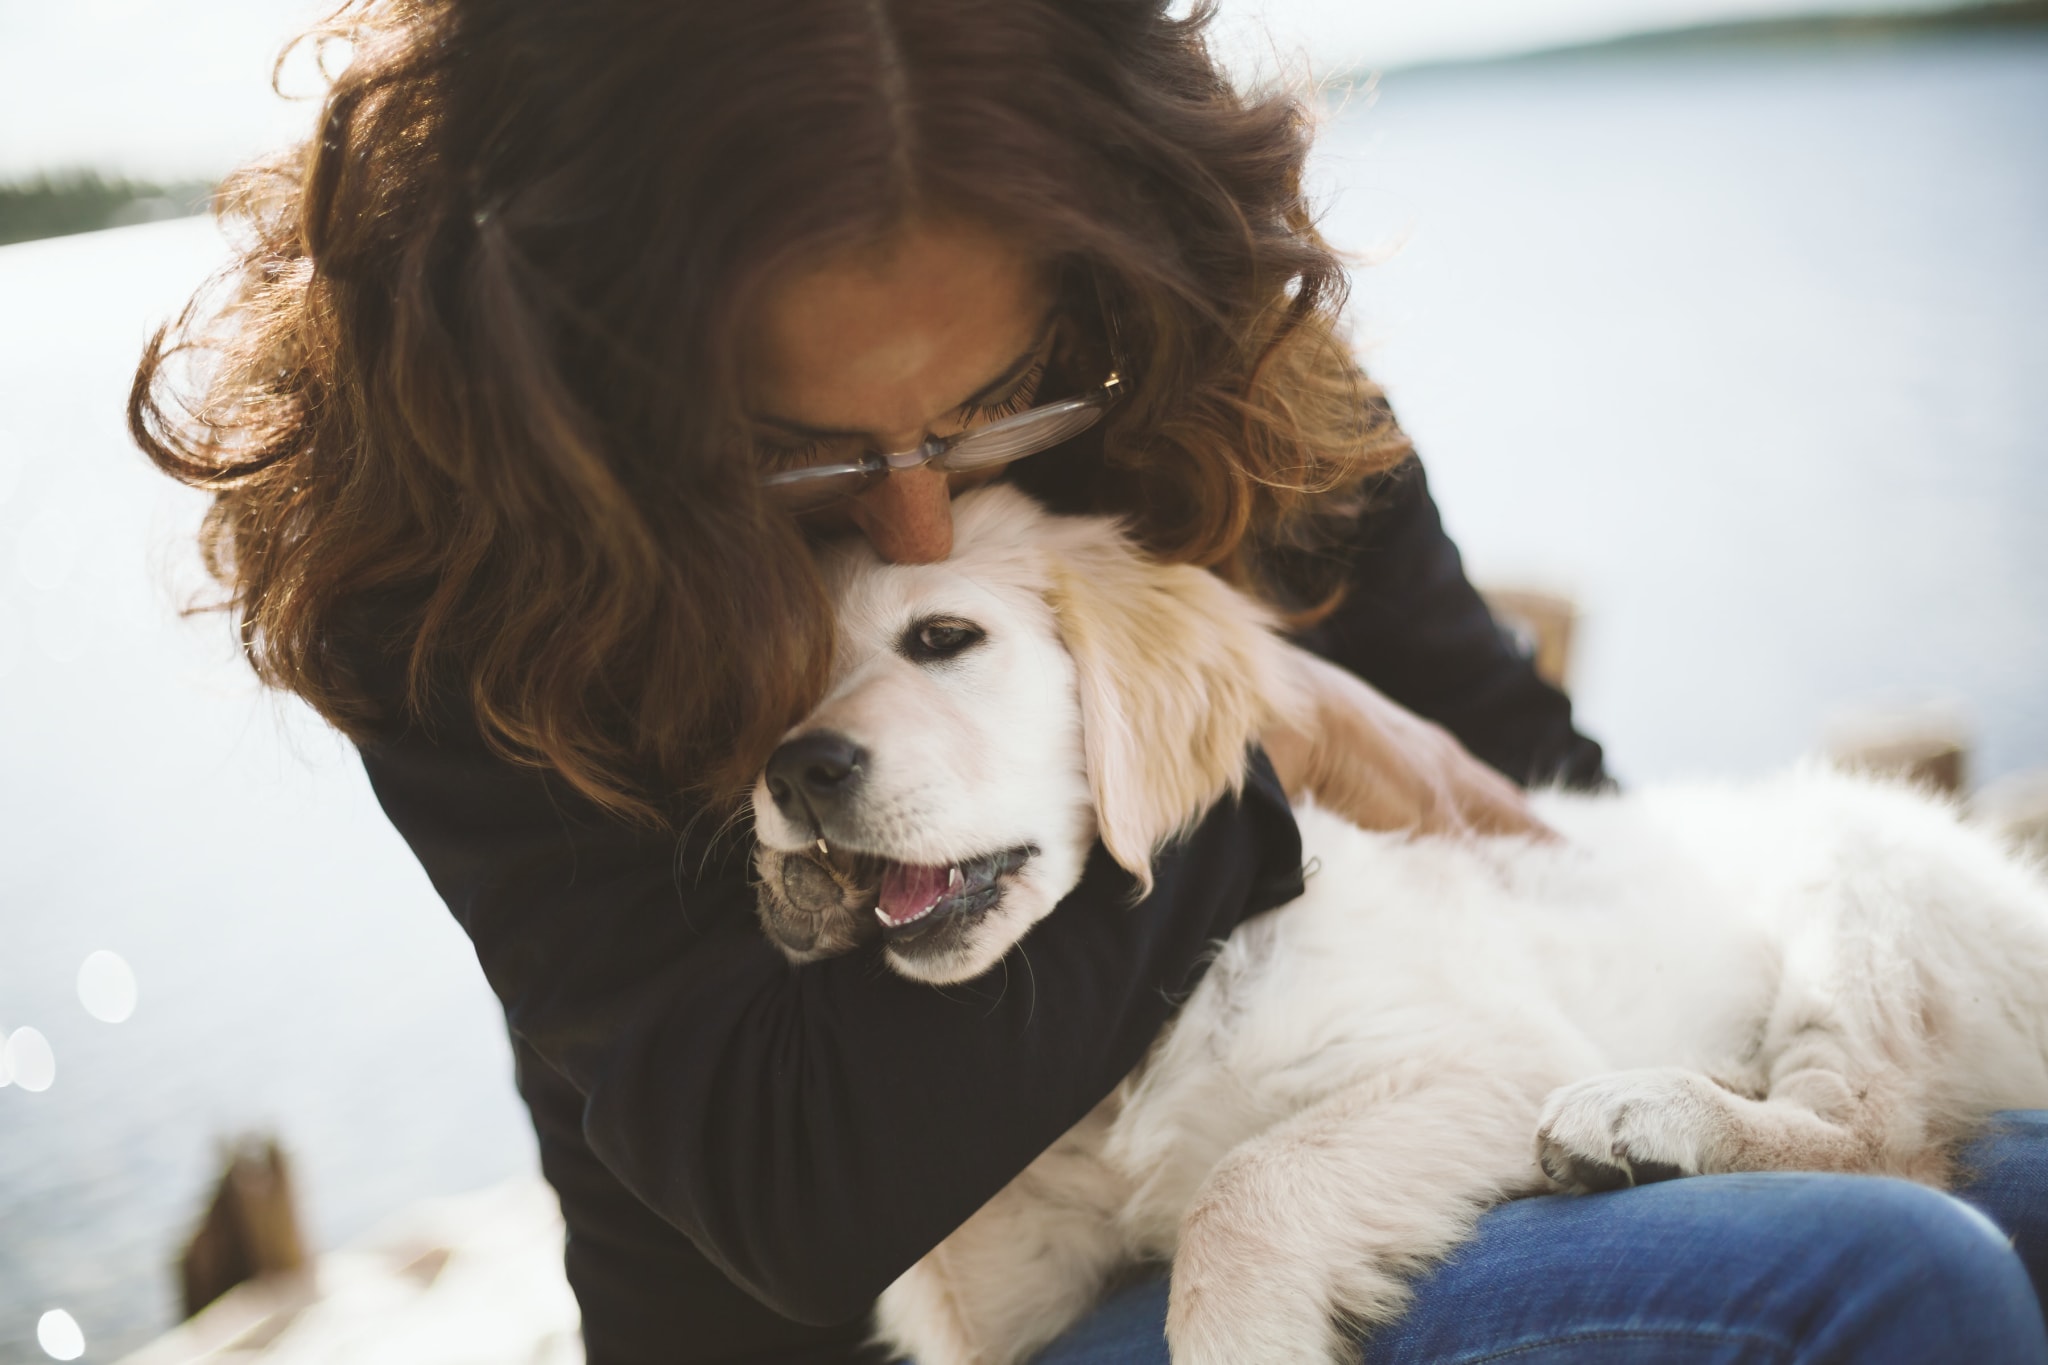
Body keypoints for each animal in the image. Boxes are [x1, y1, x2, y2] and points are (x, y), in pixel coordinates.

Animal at [749, 489, 2048, 1365]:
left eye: (942, 640)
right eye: (782, 685)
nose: (796, 772)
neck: (1138, 1047)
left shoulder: (1482, 1060)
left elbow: (1245, 1184)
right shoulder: (1011, 1278)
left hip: (1864, 894)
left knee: (1883, 1142)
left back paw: (1643, 1113)